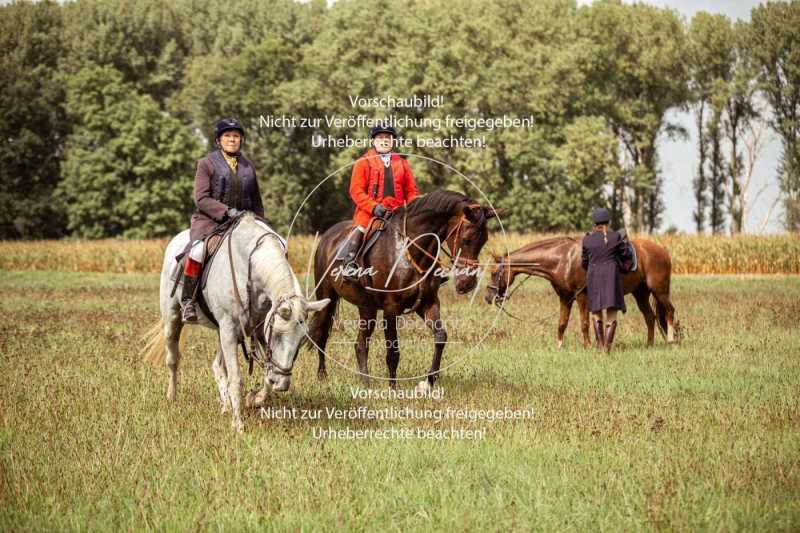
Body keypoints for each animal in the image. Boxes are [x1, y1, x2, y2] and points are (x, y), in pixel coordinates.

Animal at [143, 213, 328, 432]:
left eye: (301, 340)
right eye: (278, 334)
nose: (282, 384)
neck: (250, 269)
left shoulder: (256, 330)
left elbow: (265, 376)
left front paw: (253, 399)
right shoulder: (231, 329)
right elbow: (236, 378)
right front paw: (238, 424)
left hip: (221, 331)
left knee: (217, 365)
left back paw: (225, 405)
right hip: (173, 318)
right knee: (173, 359)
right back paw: (172, 397)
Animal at [306, 190, 494, 390]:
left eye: (484, 241)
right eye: (466, 239)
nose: (467, 284)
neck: (409, 250)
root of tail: (327, 236)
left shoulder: (428, 303)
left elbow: (440, 336)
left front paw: (429, 381)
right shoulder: (391, 307)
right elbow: (393, 352)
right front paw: (393, 389)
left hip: (367, 308)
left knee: (360, 344)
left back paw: (366, 383)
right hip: (327, 299)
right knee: (322, 335)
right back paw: (322, 376)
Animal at [484, 238, 680, 350]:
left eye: (494, 272)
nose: (488, 297)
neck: (563, 259)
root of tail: (662, 251)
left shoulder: (581, 296)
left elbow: (584, 323)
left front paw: (587, 346)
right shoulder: (565, 297)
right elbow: (562, 324)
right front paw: (559, 347)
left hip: (660, 291)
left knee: (669, 311)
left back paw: (670, 340)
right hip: (641, 294)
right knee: (650, 317)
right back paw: (649, 345)